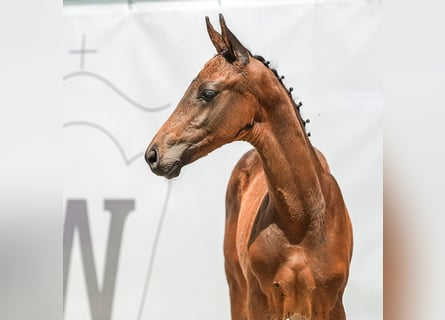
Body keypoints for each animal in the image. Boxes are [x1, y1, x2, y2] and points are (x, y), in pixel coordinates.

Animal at [147, 15, 352, 320]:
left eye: (208, 92)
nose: (153, 154)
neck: (302, 220)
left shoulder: (332, 304)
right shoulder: (260, 301)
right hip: (236, 286)